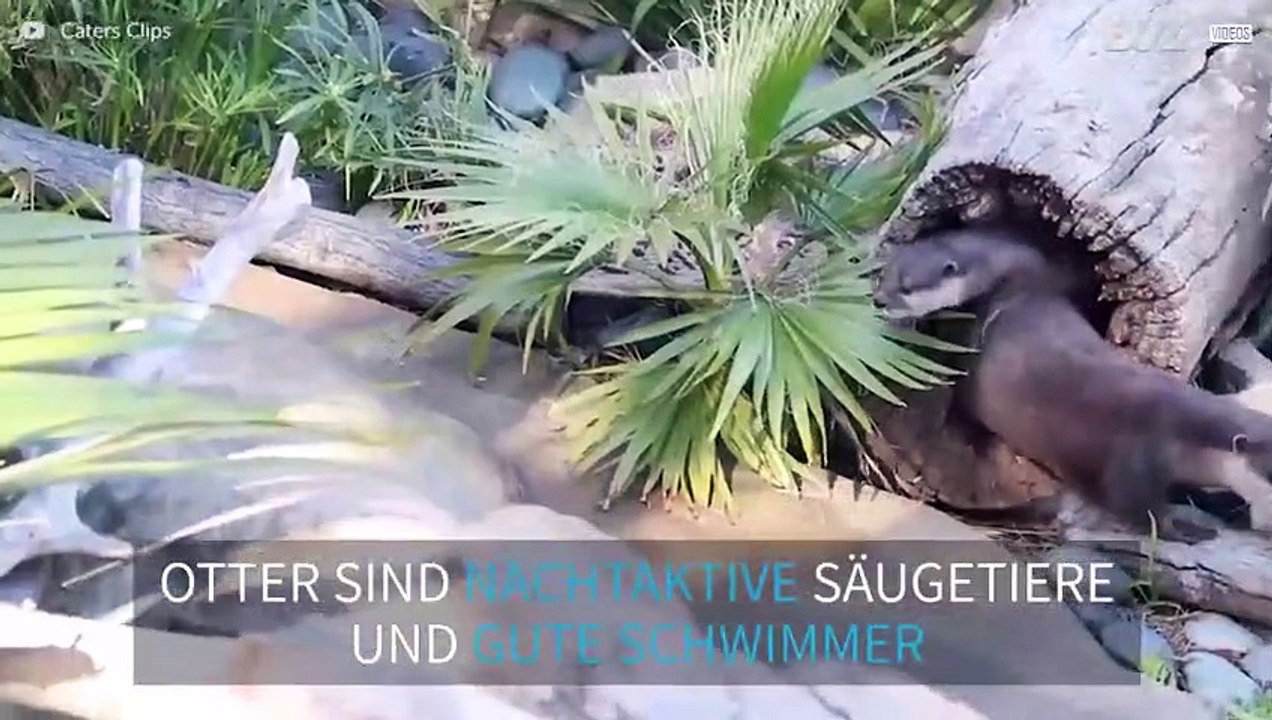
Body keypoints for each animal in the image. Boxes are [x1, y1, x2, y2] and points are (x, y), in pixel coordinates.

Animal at [874, 226, 1272, 540]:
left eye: (906, 287)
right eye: (884, 278)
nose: (878, 300)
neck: (1183, 435)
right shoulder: (1134, 460)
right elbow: (1141, 511)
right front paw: (1189, 529)